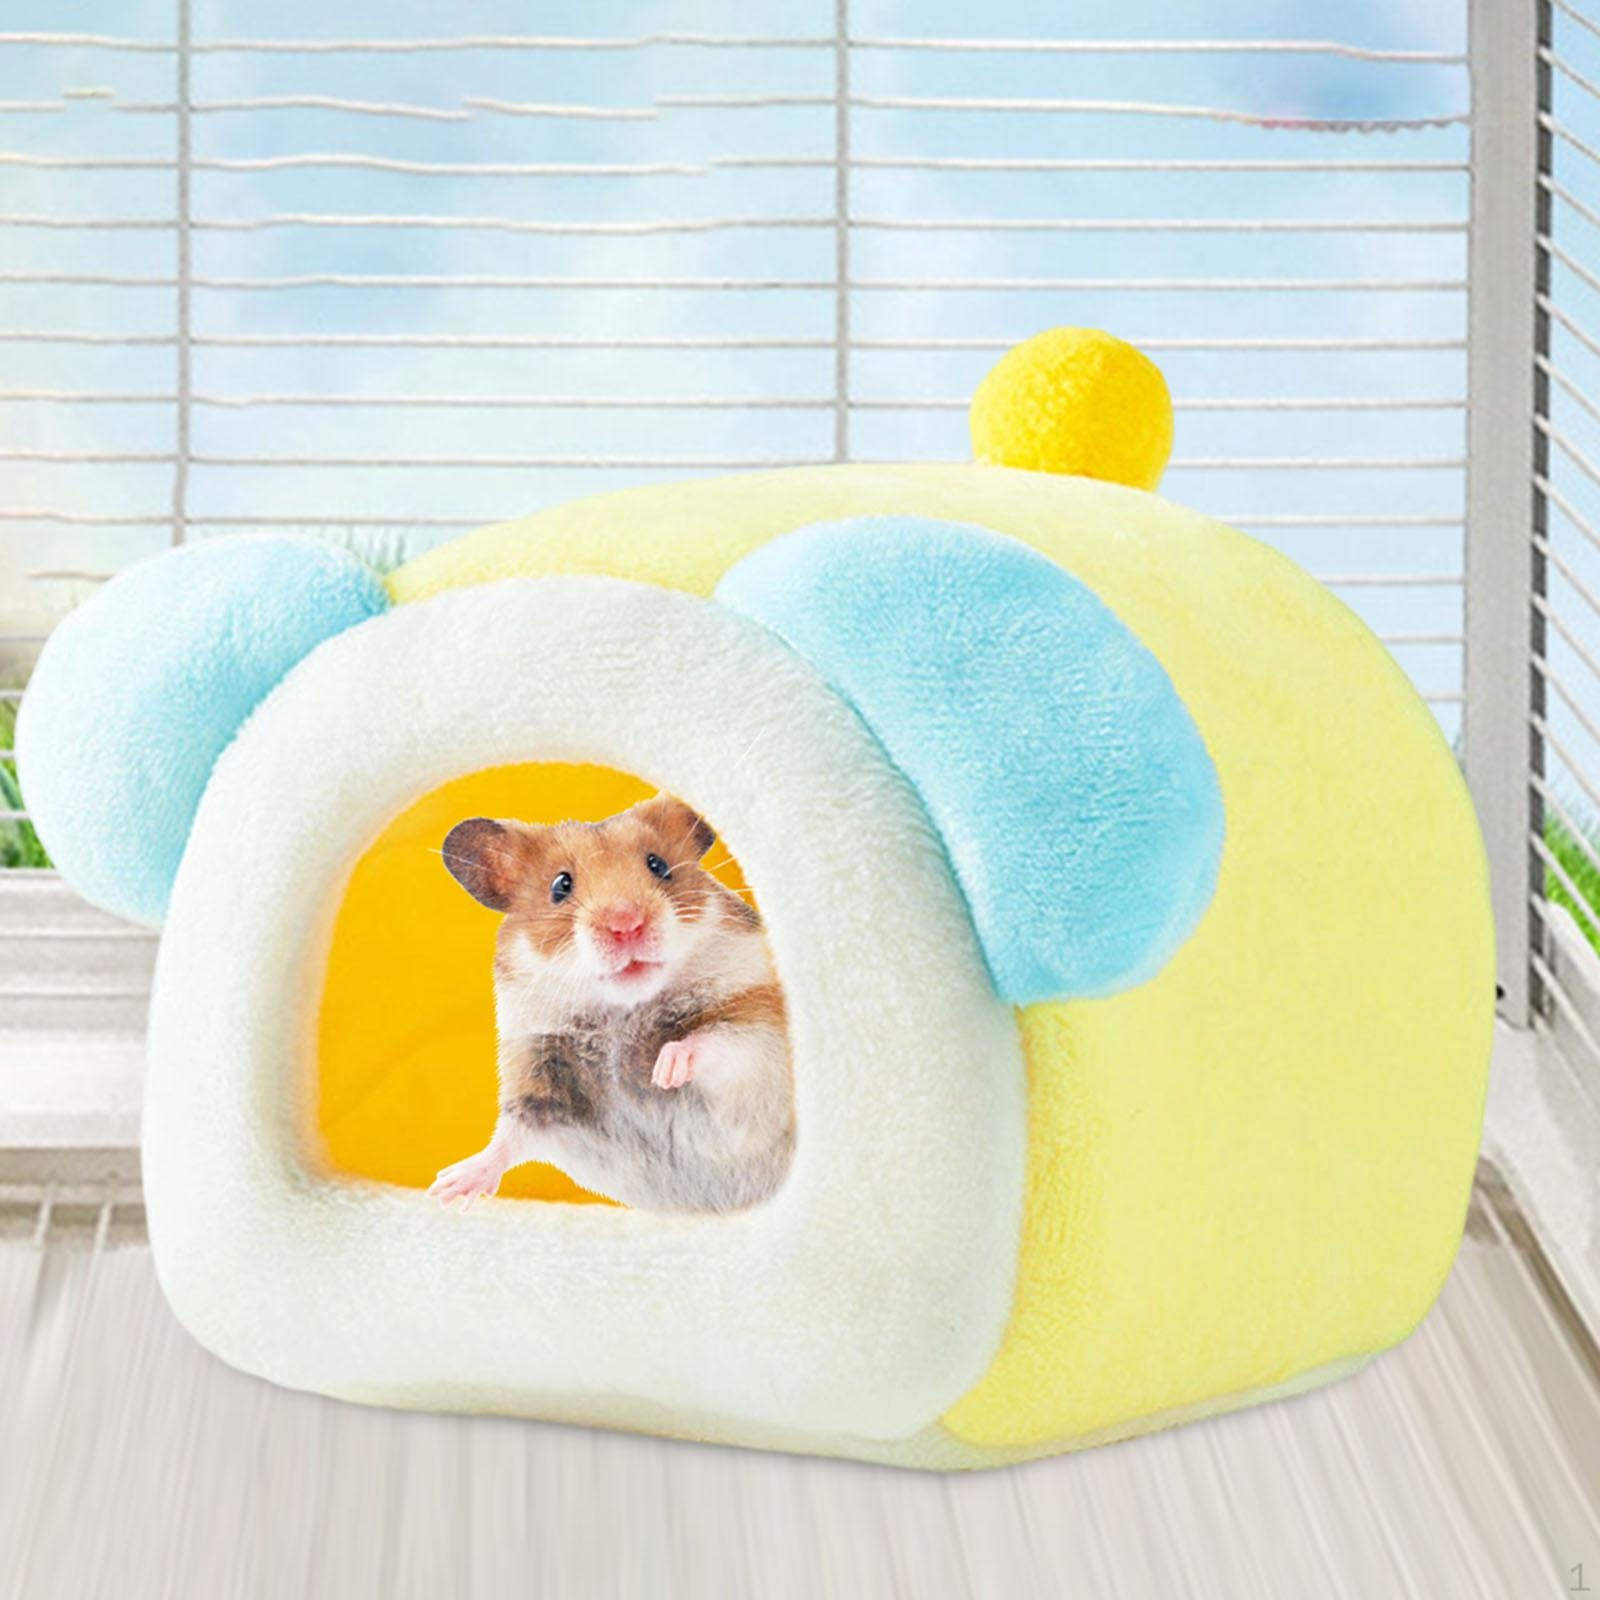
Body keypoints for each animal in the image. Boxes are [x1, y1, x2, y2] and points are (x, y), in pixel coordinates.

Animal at [428, 793, 794, 1214]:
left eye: (659, 864)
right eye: (560, 885)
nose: (626, 924)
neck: (623, 1011)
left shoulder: (762, 1027)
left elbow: (719, 1042)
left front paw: (665, 1069)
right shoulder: (540, 1080)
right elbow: (512, 1134)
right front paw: (446, 1188)